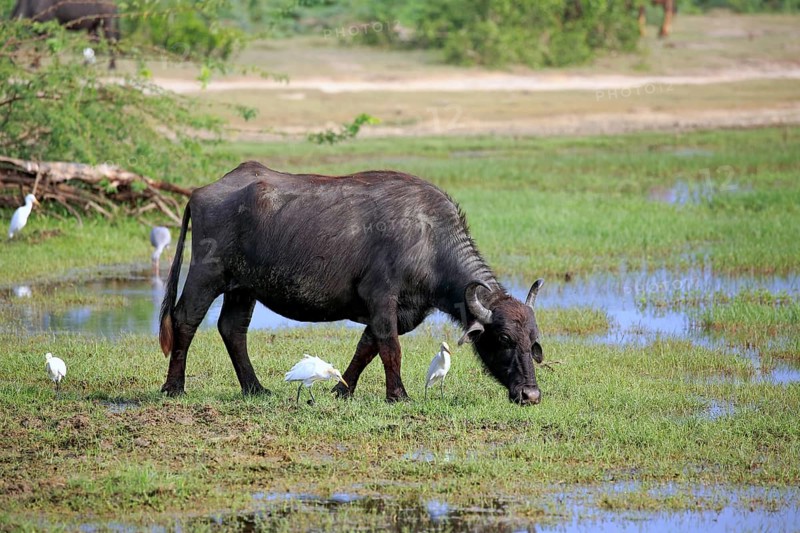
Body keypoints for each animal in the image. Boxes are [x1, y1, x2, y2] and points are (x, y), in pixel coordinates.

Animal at [159, 162, 545, 405]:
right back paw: (174, 387)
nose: (531, 396)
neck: (428, 239)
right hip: (207, 274)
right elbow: (390, 347)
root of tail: (201, 192)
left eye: (532, 342)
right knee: (185, 319)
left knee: (232, 328)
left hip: (243, 288)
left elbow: (367, 347)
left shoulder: (397, 310)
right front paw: (398, 395)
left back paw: (255, 388)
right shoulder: (382, 298)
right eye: (504, 339)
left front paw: (343, 390)